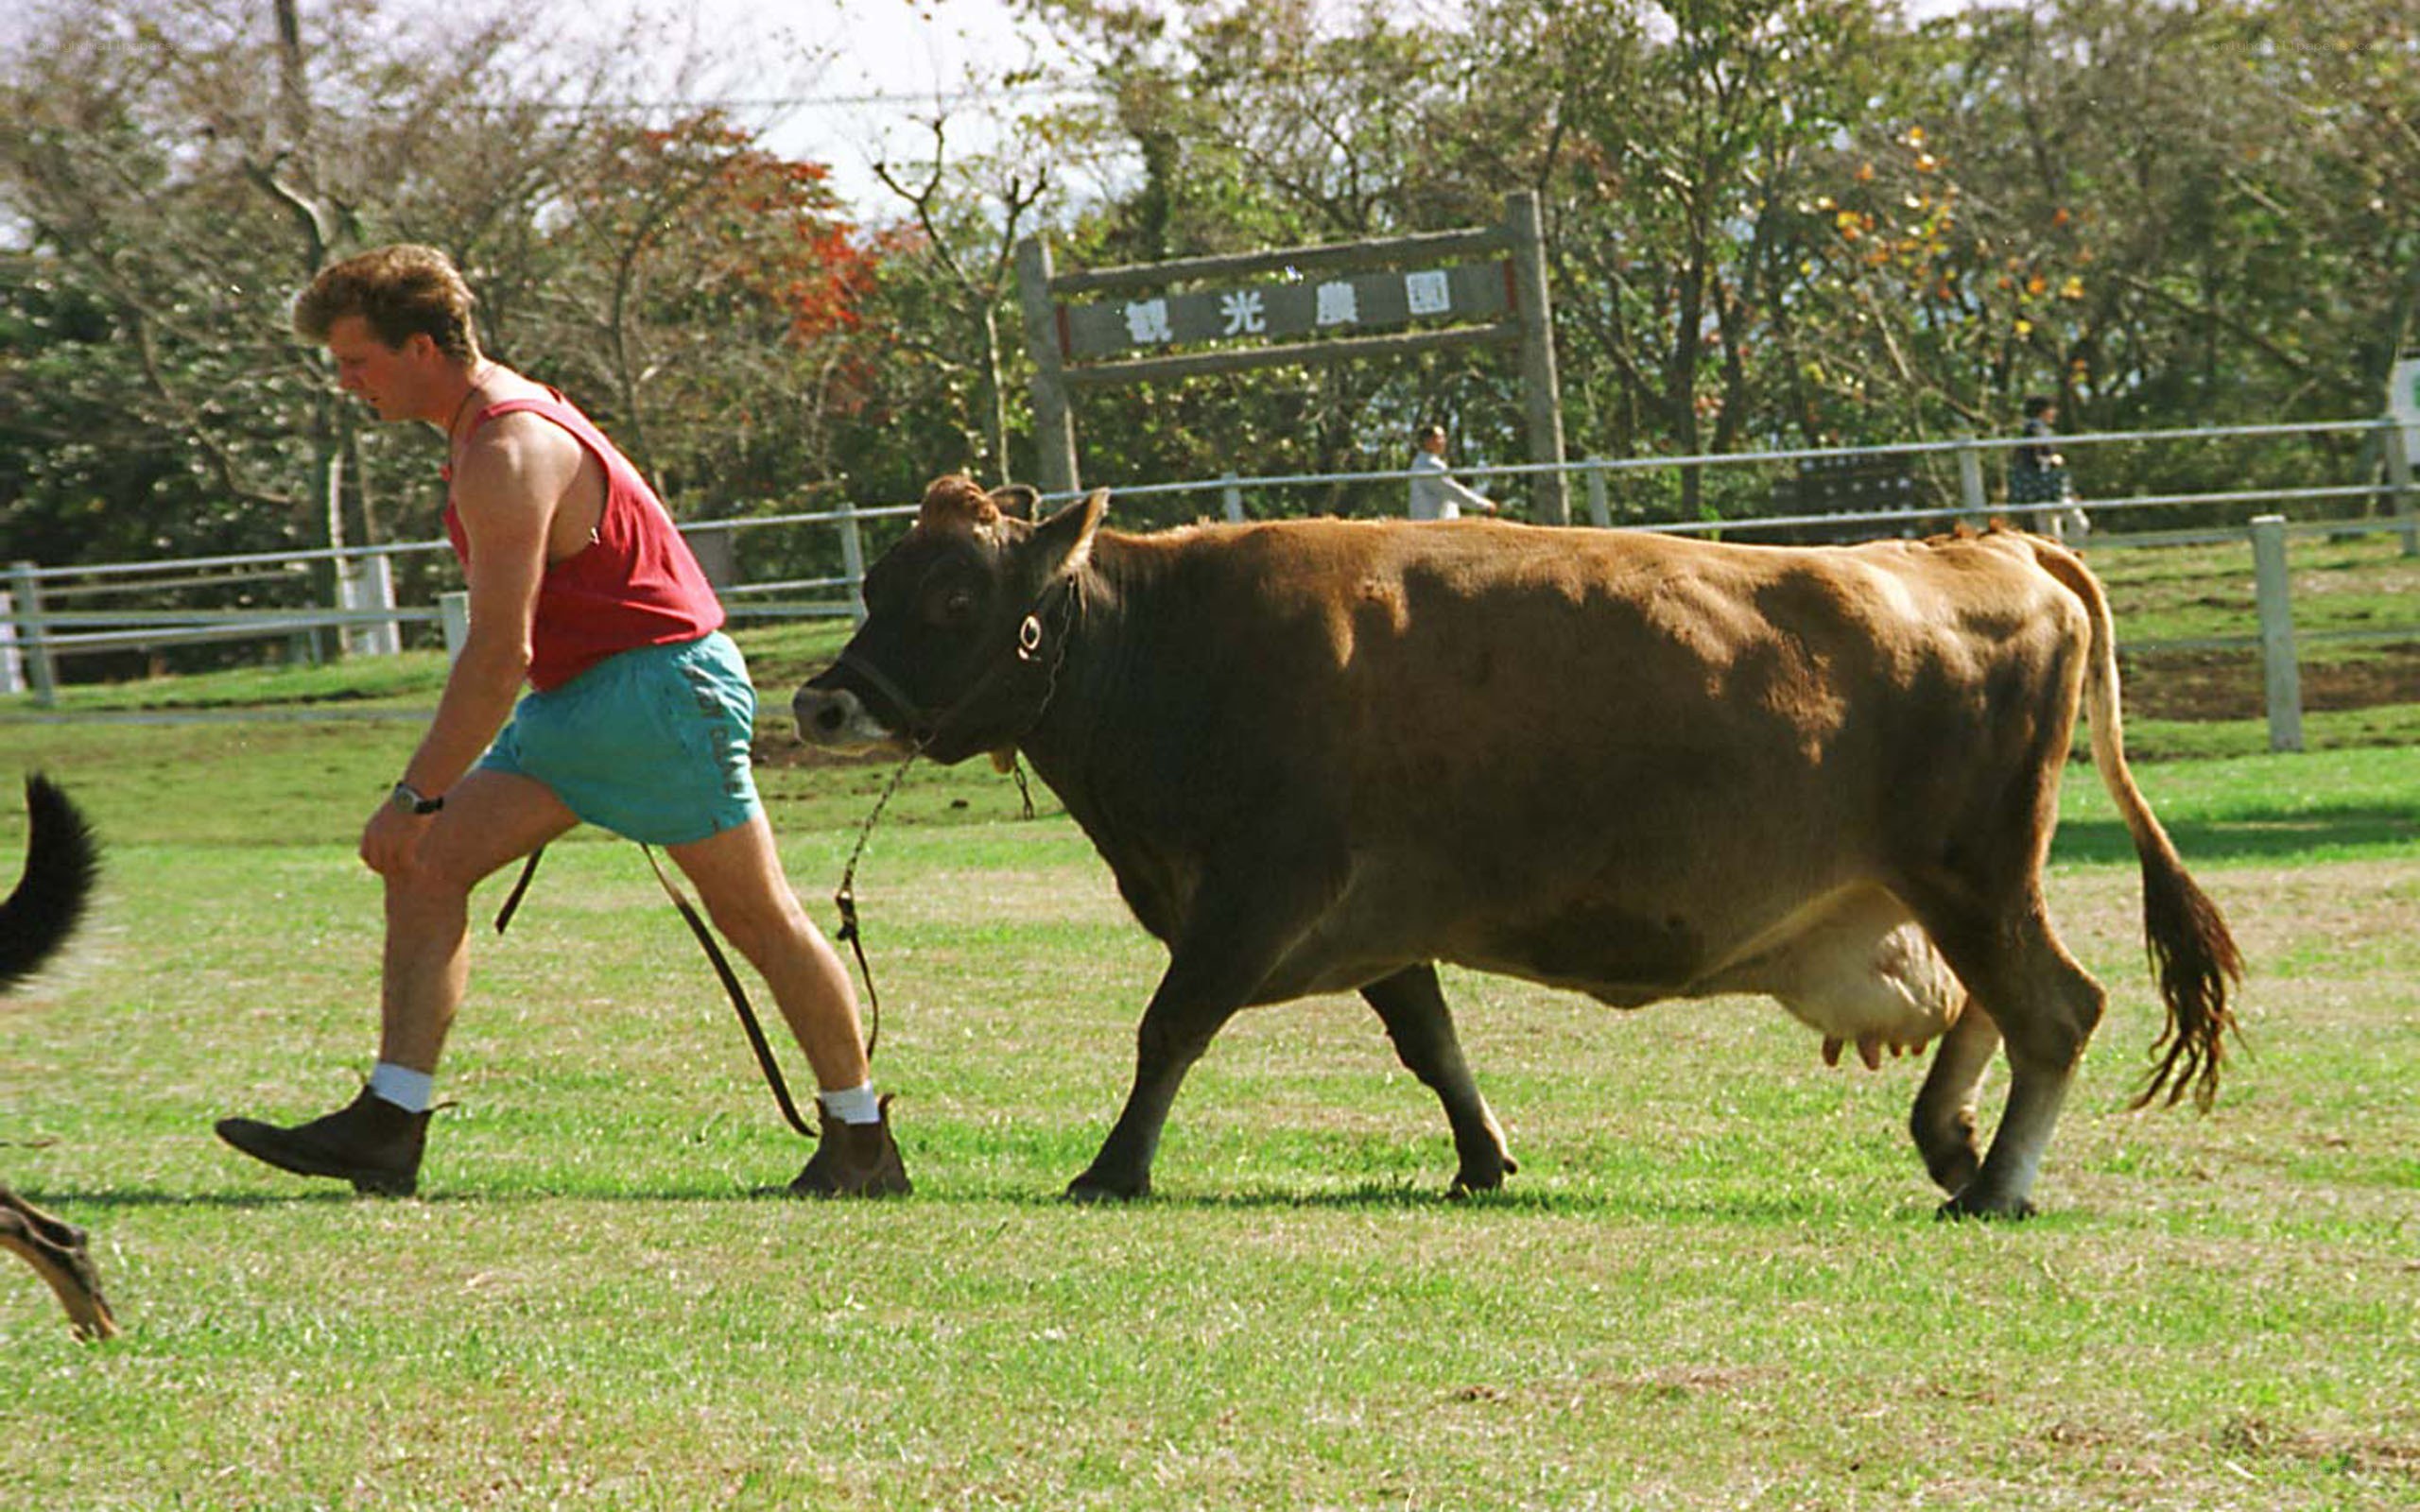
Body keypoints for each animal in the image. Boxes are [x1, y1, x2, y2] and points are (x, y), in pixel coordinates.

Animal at [793, 476, 2242, 1218]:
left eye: (956, 594)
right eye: (874, 583)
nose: (824, 702)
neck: (1175, 644)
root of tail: (1981, 547)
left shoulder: (1260, 890)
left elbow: (1170, 1028)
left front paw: (1114, 1167)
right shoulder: (1377, 918)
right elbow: (1432, 1043)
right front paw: (1484, 1157)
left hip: (1971, 870)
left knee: (2055, 1005)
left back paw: (1989, 1181)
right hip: (1953, 885)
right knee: (2001, 1004)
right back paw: (1954, 1140)